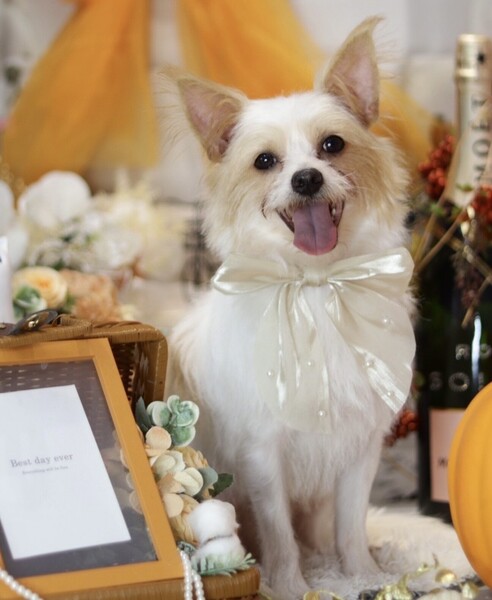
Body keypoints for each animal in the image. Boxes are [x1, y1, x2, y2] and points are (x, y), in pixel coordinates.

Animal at [163, 17, 416, 599]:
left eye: (332, 146)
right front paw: (290, 585)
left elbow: (352, 525)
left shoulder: (361, 449)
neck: (316, 289)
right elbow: (277, 530)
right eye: (265, 162)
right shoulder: (262, 454)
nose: (306, 178)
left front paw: (362, 575)